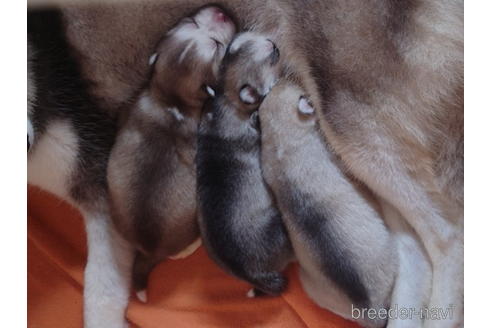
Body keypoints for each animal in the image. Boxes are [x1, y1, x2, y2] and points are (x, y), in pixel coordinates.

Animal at [196, 32, 292, 296]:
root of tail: (252, 275)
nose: (273, 42)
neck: (228, 100)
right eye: (272, 56)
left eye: (233, 47)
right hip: (278, 227)